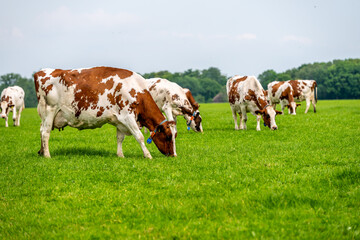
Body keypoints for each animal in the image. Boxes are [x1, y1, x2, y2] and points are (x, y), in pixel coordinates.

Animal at [33, 66, 177, 158]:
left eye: (174, 136)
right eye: (168, 136)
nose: (173, 155)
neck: (137, 90)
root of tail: (41, 72)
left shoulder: (120, 120)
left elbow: (120, 138)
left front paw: (120, 155)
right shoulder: (128, 116)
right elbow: (139, 136)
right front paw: (148, 155)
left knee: (41, 130)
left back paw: (41, 152)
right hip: (50, 110)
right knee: (45, 133)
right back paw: (47, 155)